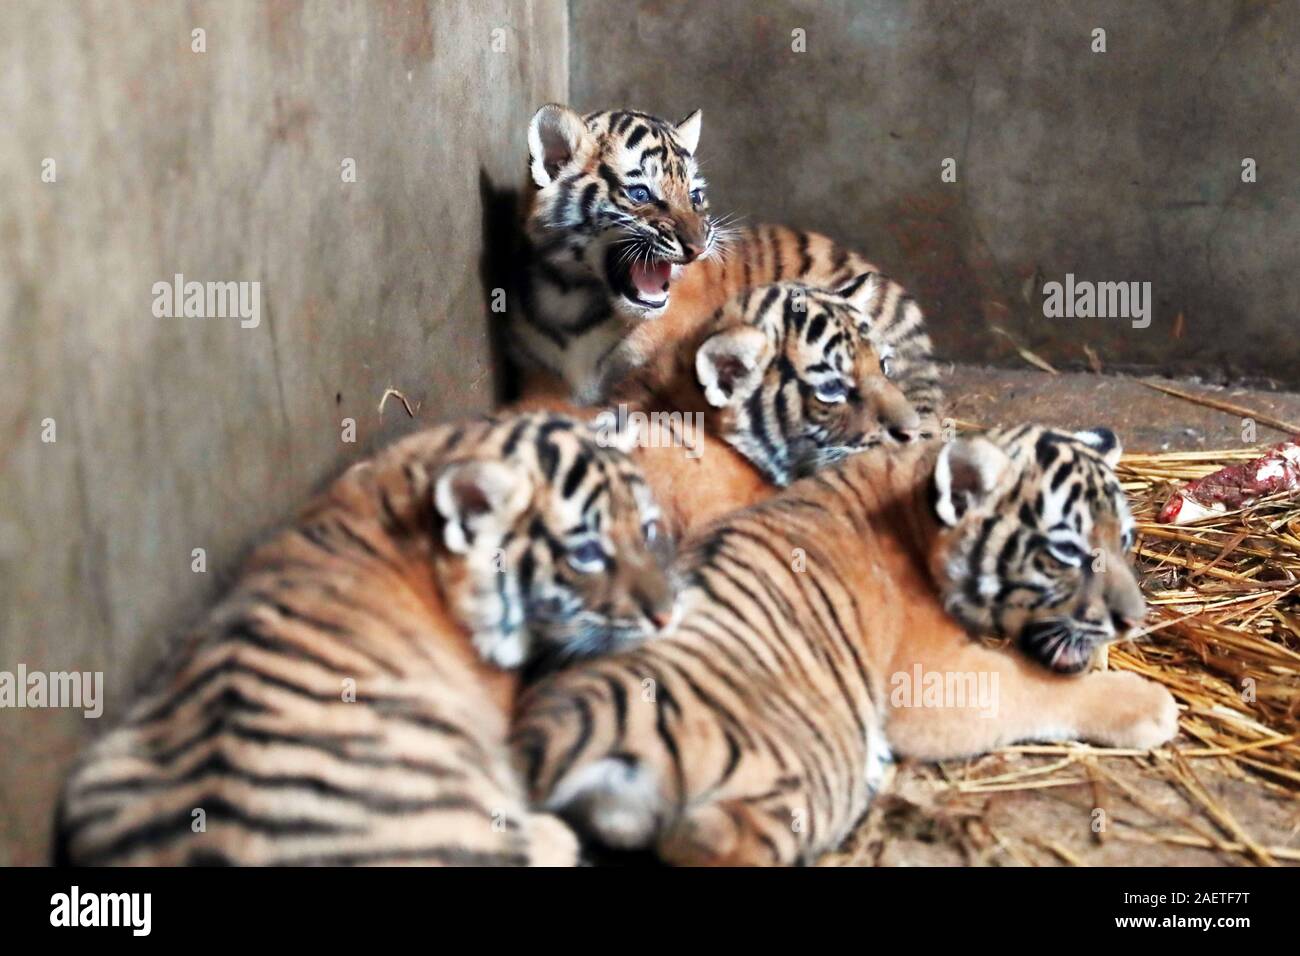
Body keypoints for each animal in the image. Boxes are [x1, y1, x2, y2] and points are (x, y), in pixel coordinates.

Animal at [511, 425, 1178, 866]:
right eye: (1065, 552)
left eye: (1124, 540)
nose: (1132, 620)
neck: (913, 508)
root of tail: (597, 709)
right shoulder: (936, 683)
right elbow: (1032, 687)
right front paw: (1146, 705)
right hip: (801, 777)